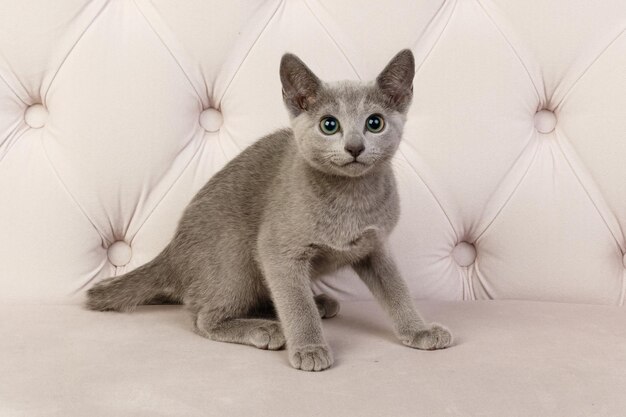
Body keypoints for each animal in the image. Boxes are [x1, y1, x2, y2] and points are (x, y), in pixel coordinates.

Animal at [85, 48, 450, 370]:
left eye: (375, 123)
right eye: (329, 125)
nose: (355, 147)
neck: (351, 196)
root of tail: (172, 251)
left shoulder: (375, 246)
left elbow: (396, 289)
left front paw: (418, 330)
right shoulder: (277, 250)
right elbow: (296, 304)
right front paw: (309, 347)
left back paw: (313, 304)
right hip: (235, 257)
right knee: (203, 316)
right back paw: (265, 328)